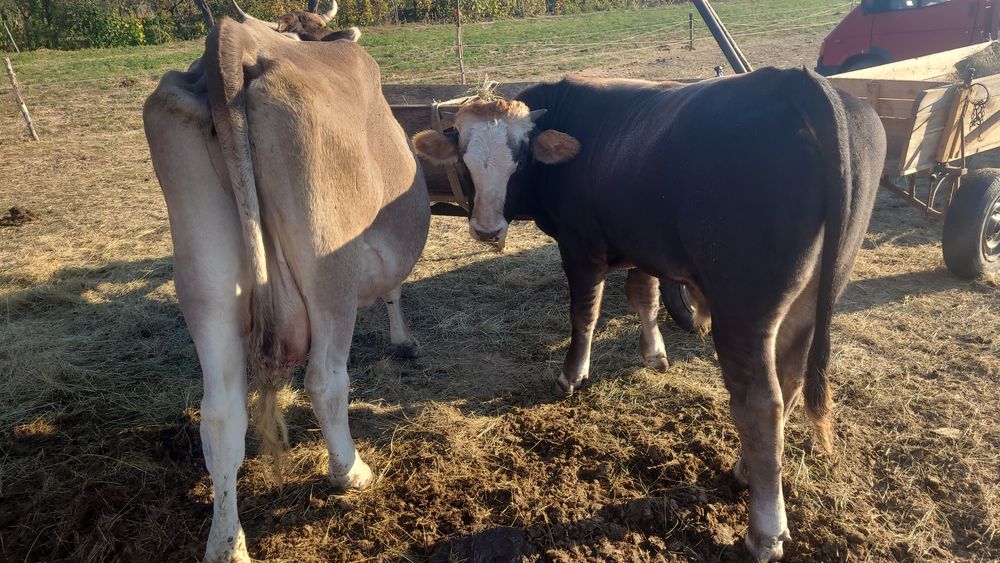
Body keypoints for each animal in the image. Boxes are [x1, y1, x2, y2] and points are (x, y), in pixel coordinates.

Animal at [143, 15, 430, 563]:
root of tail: (235, 42)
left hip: (207, 284)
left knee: (220, 417)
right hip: (329, 273)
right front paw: (405, 340)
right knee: (324, 380)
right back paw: (350, 471)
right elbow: (395, 289)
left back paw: (227, 544)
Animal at [411, 70, 885, 561]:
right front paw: (654, 355)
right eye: (465, 160)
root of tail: (795, 80)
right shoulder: (642, 246)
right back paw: (745, 470)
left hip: (743, 311)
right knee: (790, 381)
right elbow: (644, 297)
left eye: (519, 162)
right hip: (811, 298)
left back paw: (765, 530)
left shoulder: (580, 247)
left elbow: (584, 313)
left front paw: (571, 375)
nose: (486, 230)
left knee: (761, 404)